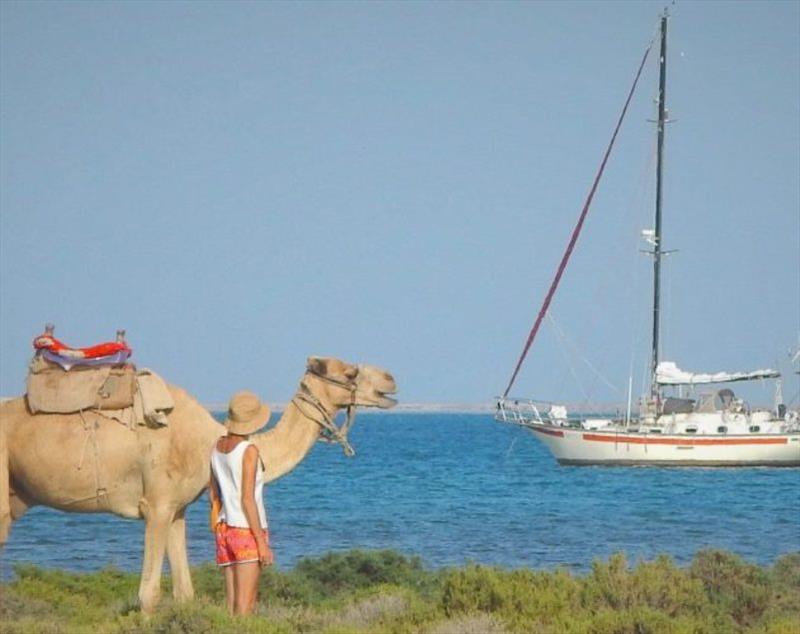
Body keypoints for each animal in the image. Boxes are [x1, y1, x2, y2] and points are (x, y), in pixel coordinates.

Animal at [0, 356, 396, 608]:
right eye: (350, 373)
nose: (390, 378)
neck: (205, 441)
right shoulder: (157, 506)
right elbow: (148, 596)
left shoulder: (177, 511)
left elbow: (184, 593)